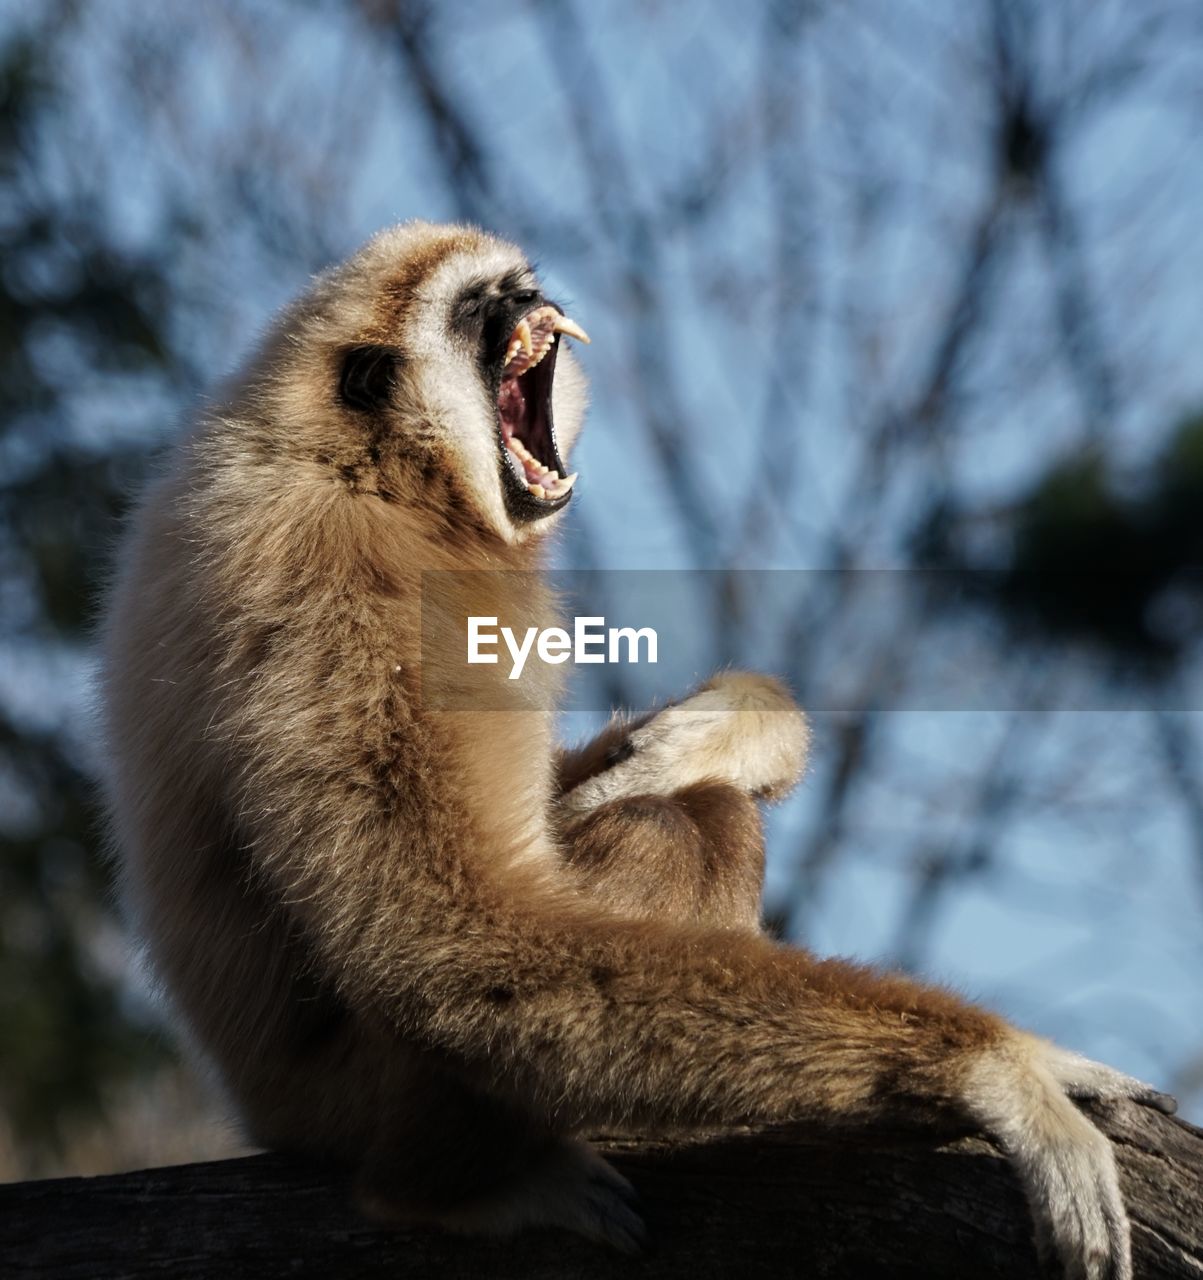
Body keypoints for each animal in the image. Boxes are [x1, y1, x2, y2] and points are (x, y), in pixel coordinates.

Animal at [101, 225, 1172, 1274]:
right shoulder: (346, 593)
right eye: (474, 305)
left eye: (514, 280)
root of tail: (261, 1111)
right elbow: (452, 946)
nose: (525, 298)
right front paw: (1002, 1069)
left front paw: (729, 724)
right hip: (357, 1096)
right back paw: (452, 1189)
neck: (378, 472)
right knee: (663, 839)